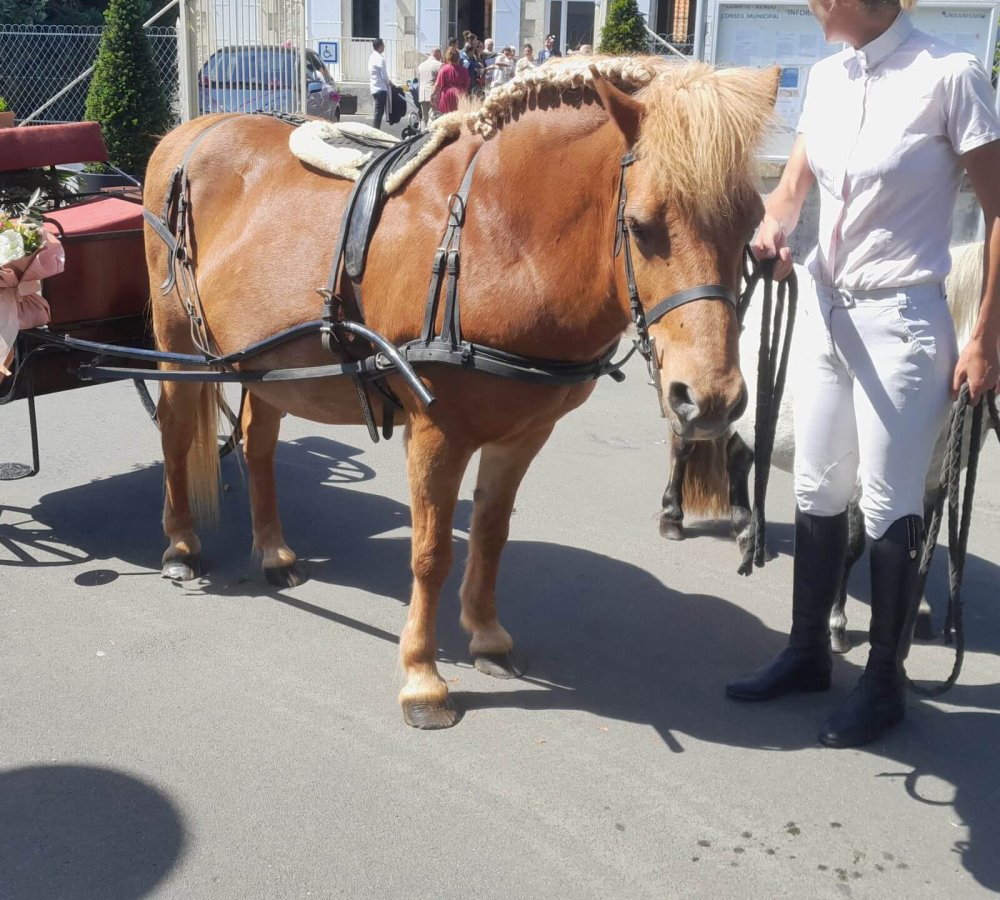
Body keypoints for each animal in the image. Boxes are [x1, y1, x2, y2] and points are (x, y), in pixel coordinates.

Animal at [143, 59, 780, 728]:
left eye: (751, 226)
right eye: (640, 225)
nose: (708, 400)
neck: (494, 234)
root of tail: (190, 130)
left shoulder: (522, 435)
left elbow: (491, 536)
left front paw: (487, 635)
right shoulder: (436, 433)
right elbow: (430, 553)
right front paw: (423, 676)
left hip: (260, 365)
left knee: (257, 446)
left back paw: (273, 552)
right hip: (177, 345)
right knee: (176, 434)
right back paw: (181, 545)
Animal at [664, 243, 984, 652]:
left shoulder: (929, 481)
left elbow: (922, 534)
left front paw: (919, 615)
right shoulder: (859, 478)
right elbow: (851, 546)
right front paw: (836, 623)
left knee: (738, 459)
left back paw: (747, 533)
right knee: (683, 450)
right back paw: (672, 519)